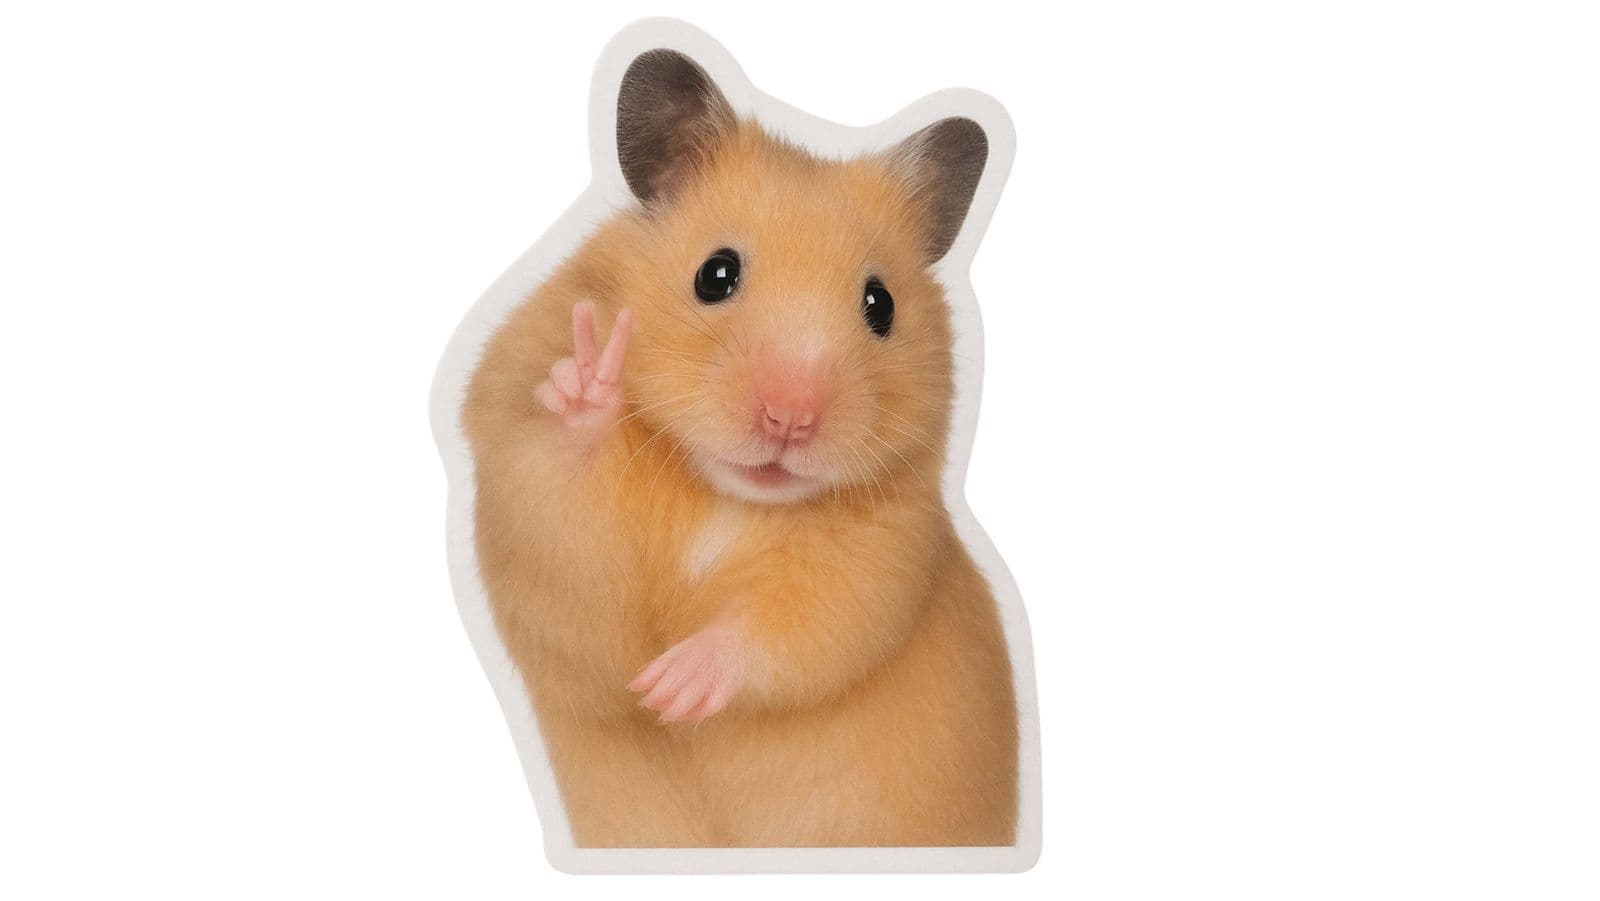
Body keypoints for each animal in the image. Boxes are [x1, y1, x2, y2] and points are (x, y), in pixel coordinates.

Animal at [462, 49, 1017, 847]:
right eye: (715, 274)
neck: (726, 494)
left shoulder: (886, 549)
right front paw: (587, 386)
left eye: (880, 305)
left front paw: (671, 688)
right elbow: (571, 555)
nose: (790, 418)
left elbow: (796, 621)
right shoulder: (532, 529)